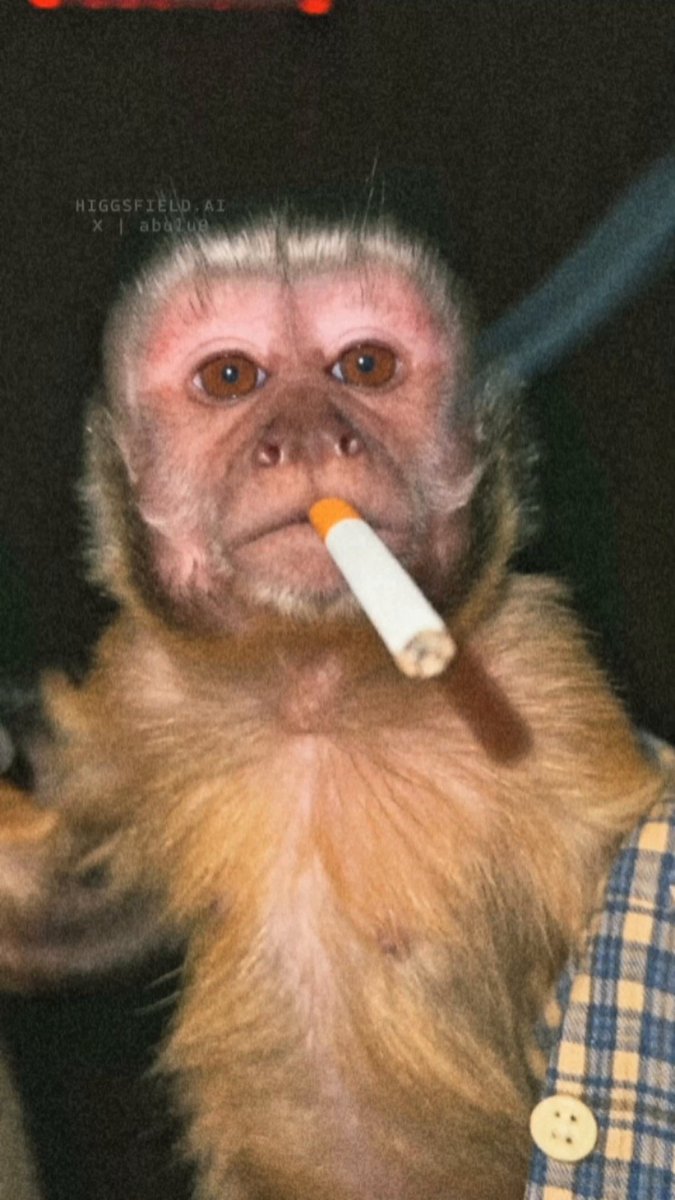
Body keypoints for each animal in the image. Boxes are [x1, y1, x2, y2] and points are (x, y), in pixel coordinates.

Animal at [0, 211, 668, 1200]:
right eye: (230, 377)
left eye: (365, 367)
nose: (311, 439)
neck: (319, 690)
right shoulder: (147, 681)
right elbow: (88, 901)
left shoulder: (539, 684)